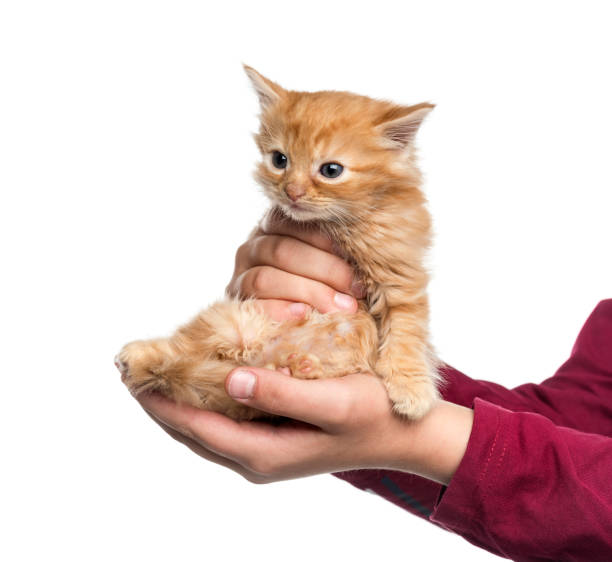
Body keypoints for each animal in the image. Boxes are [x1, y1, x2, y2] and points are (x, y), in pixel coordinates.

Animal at [115, 65, 440, 418]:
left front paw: (412, 389)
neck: (341, 225)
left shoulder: (401, 276)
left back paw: (301, 366)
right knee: (182, 348)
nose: (292, 192)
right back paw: (137, 356)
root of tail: (256, 355)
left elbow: (407, 332)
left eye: (331, 170)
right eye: (279, 160)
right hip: (229, 320)